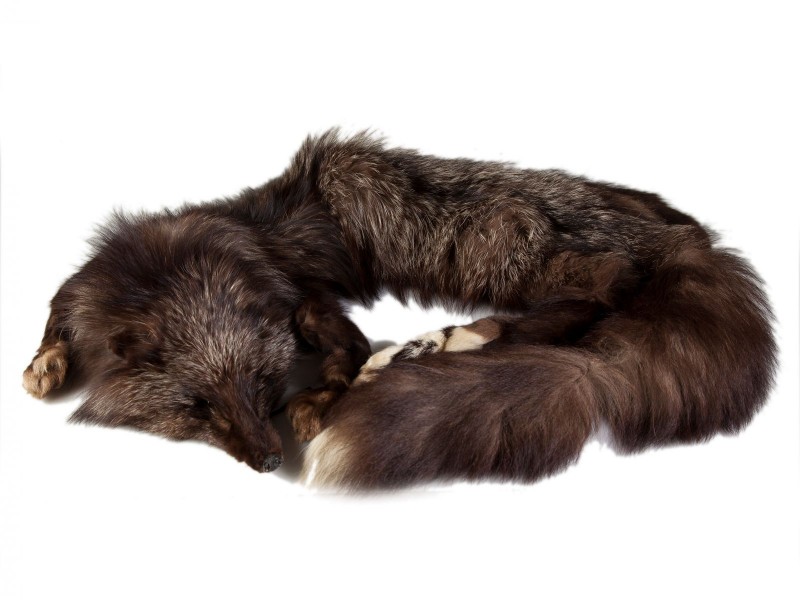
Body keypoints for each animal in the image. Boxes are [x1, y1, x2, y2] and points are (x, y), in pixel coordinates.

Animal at [23, 130, 777, 486]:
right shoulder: (91, 283)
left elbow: (346, 345)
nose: (270, 461)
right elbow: (58, 308)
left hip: (492, 238)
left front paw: (322, 397)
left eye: (263, 385)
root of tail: (677, 237)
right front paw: (46, 363)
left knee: (603, 289)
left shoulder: (299, 292)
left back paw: (448, 341)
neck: (175, 260)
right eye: (198, 408)